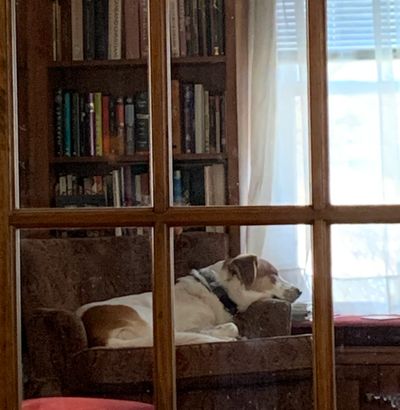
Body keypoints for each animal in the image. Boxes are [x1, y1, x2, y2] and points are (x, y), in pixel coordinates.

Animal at [76, 255, 302, 348]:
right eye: (274, 275)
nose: (300, 291)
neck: (216, 291)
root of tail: (99, 336)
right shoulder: (187, 325)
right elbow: (230, 327)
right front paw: (221, 333)